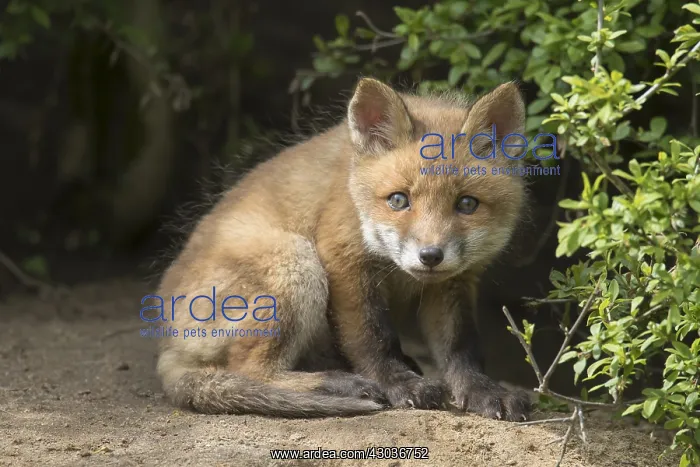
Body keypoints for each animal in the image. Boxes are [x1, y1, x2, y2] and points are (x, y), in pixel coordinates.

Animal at [154, 77, 531, 421]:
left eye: (467, 204)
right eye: (398, 200)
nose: (430, 256)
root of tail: (166, 343)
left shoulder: (454, 283)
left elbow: (461, 347)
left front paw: (481, 389)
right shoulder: (343, 257)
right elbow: (371, 337)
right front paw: (399, 384)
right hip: (296, 262)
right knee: (249, 370)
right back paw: (340, 384)